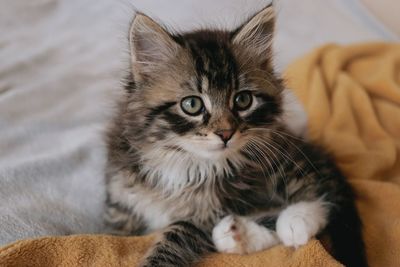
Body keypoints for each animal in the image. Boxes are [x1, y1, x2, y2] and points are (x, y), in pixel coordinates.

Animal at [104, 4, 368, 267]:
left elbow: (173, 241)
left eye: (243, 100)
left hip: (281, 161)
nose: (226, 133)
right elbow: (115, 235)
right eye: (192, 104)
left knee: (324, 191)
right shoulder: (122, 201)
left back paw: (294, 222)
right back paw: (235, 235)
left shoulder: (202, 217)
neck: (183, 163)